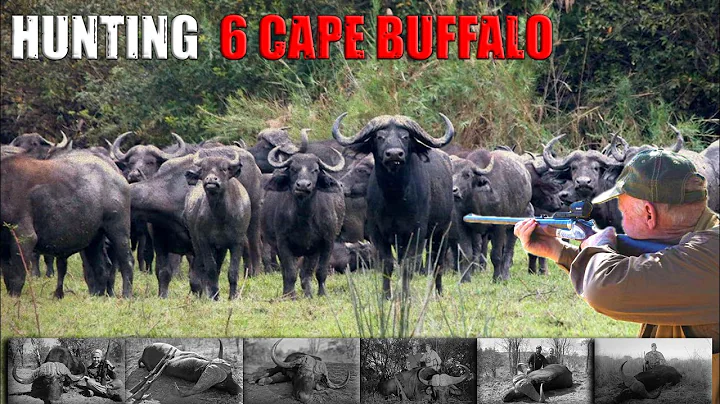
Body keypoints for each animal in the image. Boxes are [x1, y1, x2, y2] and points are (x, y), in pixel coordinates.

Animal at [184, 149, 252, 299]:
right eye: (204, 169)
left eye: (224, 169)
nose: (211, 180)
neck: (221, 216)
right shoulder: (204, 242)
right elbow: (211, 269)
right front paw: (214, 296)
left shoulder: (237, 242)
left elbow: (232, 272)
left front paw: (232, 297)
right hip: (198, 243)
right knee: (202, 267)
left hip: (221, 249)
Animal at [332, 113, 455, 298]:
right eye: (379, 137)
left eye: (405, 137)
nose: (394, 154)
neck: (395, 198)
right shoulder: (378, 234)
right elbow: (387, 264)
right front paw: (386, 296)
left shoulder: (416, 233)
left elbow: (408, 266)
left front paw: (405, 296)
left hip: (442, 232)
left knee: (437, 262)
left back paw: (438, 293)